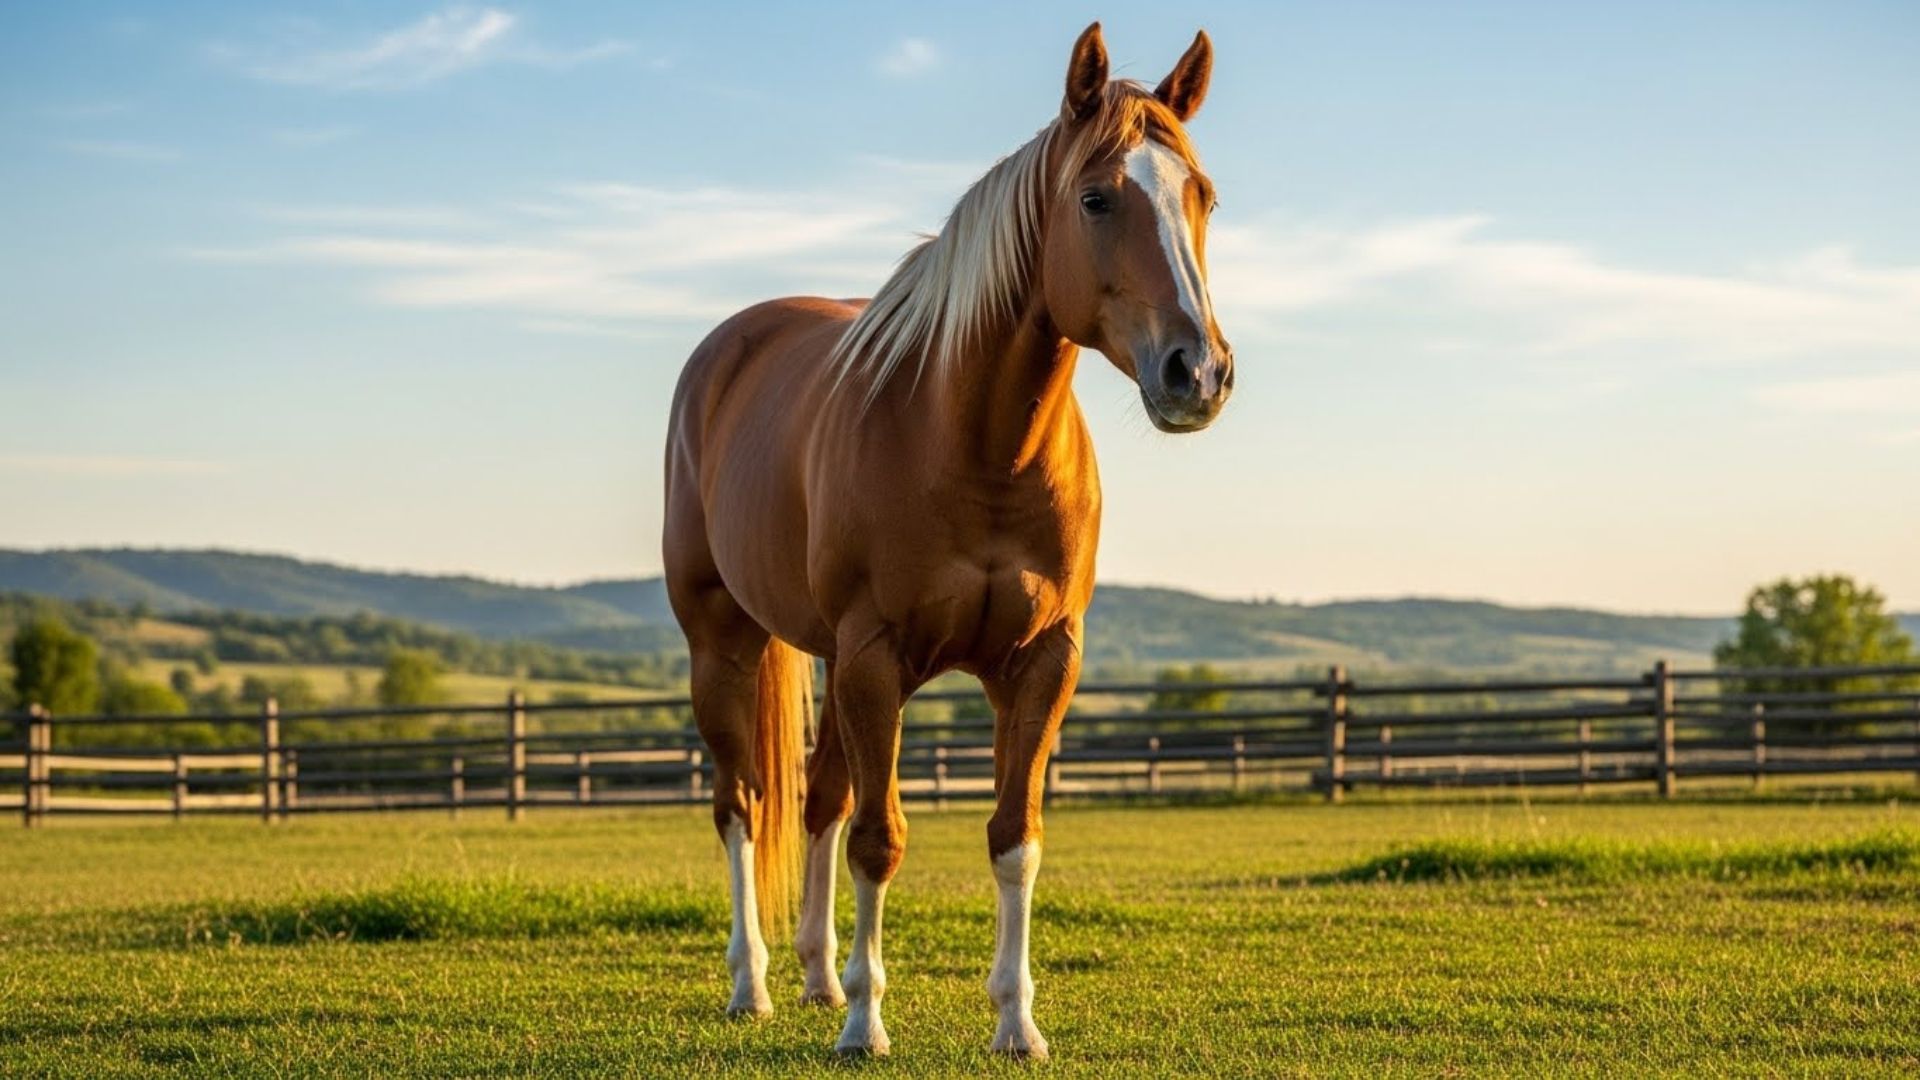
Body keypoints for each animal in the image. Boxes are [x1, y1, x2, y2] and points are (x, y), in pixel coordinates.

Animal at [662, 22, 1231, 1058]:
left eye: (1201, 195)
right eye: (1096, 197)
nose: (1197, 372)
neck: (974, 445)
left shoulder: (1041, 663)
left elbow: (1014, 839)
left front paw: (1016, 1022)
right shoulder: (875, 658)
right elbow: (881, 841)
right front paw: (866, 1023)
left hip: (824, 658)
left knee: (818, 798)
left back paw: (814, 976)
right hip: (723, 645)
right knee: (744, 806)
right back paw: (753, 985)